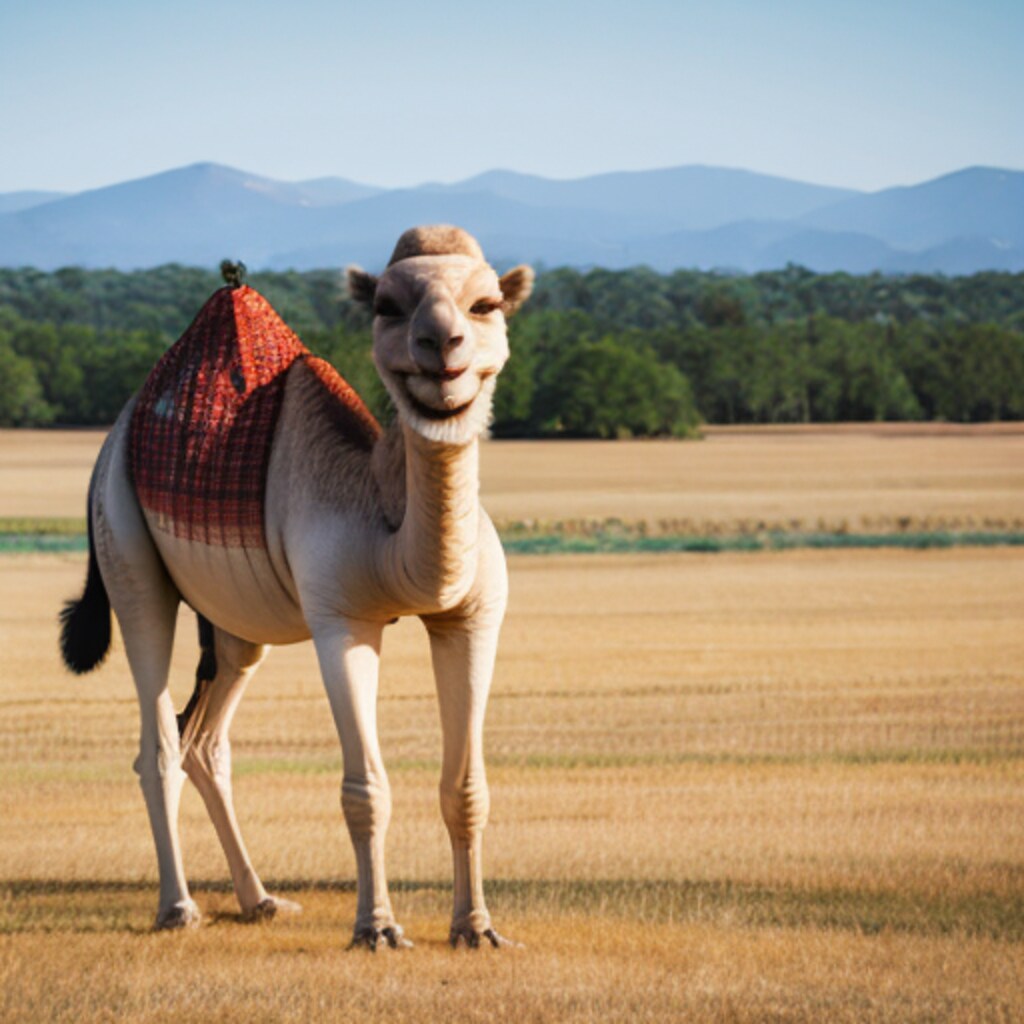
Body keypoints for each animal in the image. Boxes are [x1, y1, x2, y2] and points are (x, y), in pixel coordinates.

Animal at [59, 225, 534, 949]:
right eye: (388, 307)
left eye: (486, 305)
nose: (440, 345)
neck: (386, 519)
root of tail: (114, 439)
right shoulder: (342, 620)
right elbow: (364, 789)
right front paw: (377, 930)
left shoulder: (474, 619)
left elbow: (466, 788)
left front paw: (476, 929)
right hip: (125, 540)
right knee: (158, 734)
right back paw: (179, 908)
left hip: (232, 629)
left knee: (205, 741)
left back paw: (260, 900)